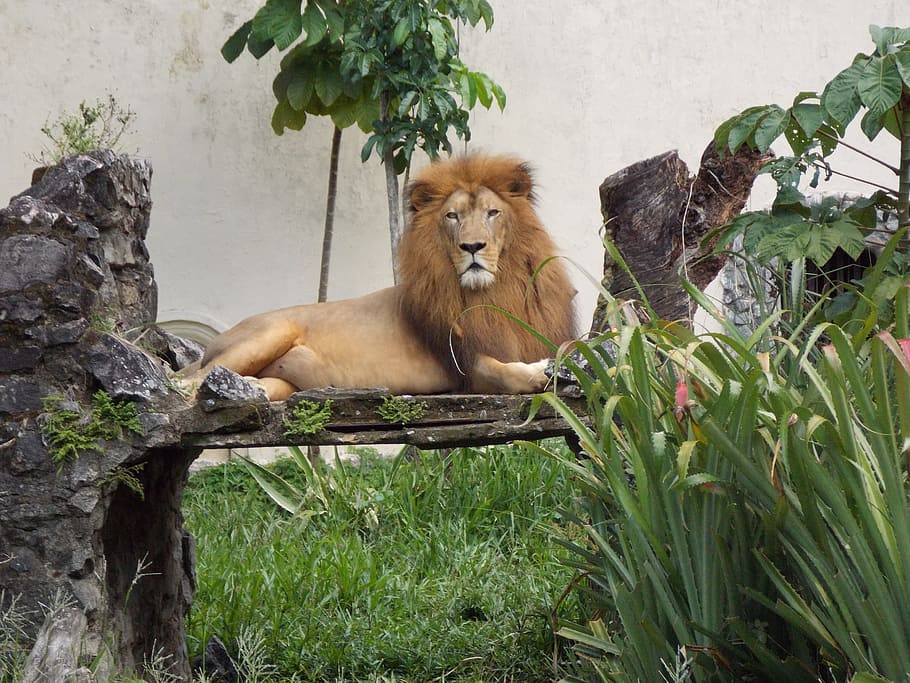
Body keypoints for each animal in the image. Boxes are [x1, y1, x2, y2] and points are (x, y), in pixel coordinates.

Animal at [194, 155, 577, 400]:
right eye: (452, 216)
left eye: (492, 212)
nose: (472, 246)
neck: (494, 292)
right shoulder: (465, 365)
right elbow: (505, 372)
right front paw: (542, 371)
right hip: (269, 332)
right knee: (191, 382)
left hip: (284, 381)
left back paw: (247, 390)